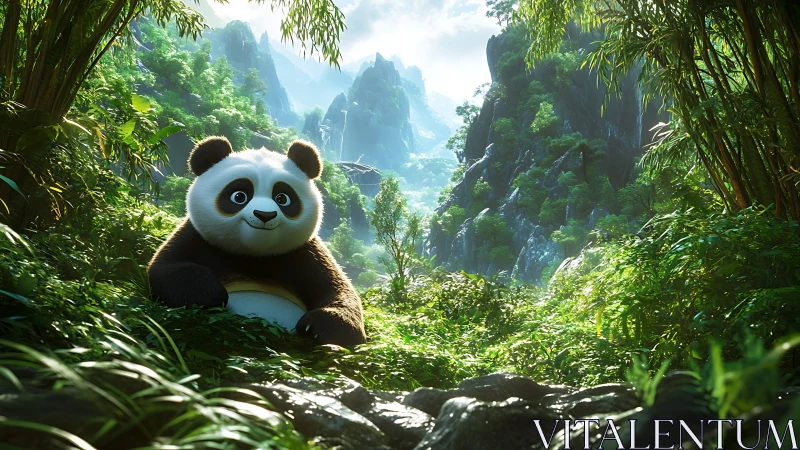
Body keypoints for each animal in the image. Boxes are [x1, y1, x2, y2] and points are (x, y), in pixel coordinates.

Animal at [147, 136, 366, 346]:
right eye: (239, 196)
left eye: (282, 198)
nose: (265, 215)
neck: (254, 254)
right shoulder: (196, 238)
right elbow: (165, 269)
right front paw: (210, 294)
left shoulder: (306, 253)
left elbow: (339, 289)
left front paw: (319, 326)